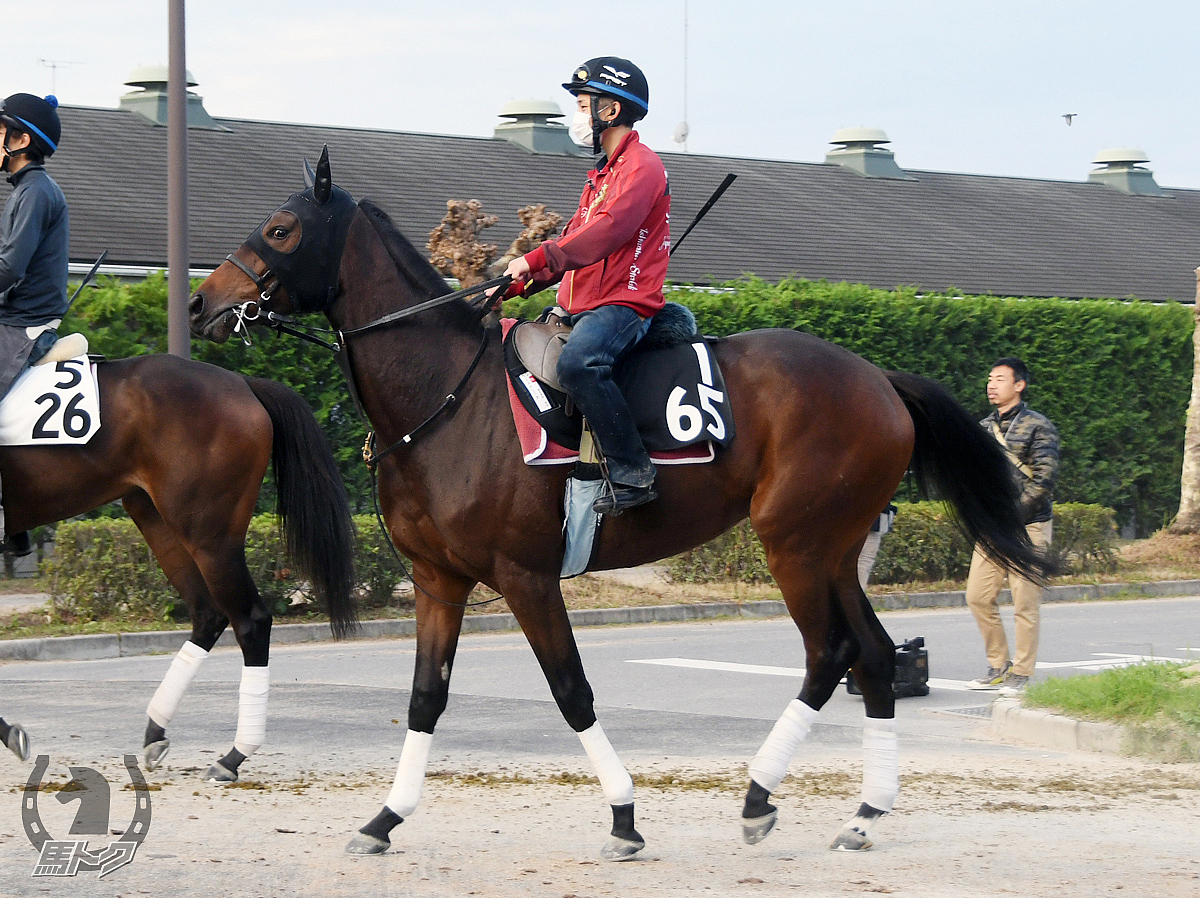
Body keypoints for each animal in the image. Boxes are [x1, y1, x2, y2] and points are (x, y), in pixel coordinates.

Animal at [1, 355, 355, 782]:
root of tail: (242, 383)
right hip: (157, 519)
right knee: (208, 614)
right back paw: (157, 730)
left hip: (209, 539)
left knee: (250, 621)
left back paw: (233, 756)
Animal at [189, 150, 1051, 859]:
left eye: (281, 228)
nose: (201, 303)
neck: (448, 397)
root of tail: (878, 379)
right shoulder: (438, 580)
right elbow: (425, 699)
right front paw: (384, 819)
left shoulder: (526, 577)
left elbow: (572, 692)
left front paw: (625, 817)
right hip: (836, 547)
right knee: (871, 655)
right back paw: (865, 812)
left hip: (795, 543)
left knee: (829, 651)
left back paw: (758, 797)